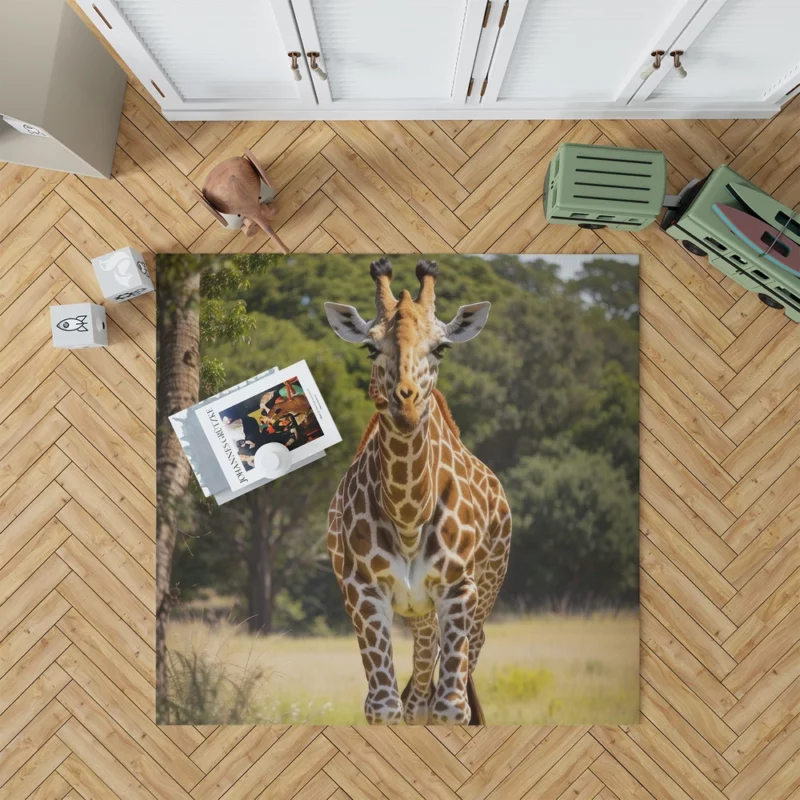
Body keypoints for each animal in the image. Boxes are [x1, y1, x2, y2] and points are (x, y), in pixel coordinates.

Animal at [324, 260, 512, 728]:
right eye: (370, 348)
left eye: (441, 348)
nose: (405, 404)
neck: (409, 517)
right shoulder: (363, 591)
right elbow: (384, 705)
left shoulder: (458, 590)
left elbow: (453, 708)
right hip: (420, 611)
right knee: (417, 696)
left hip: (483, 596)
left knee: (453, 681)